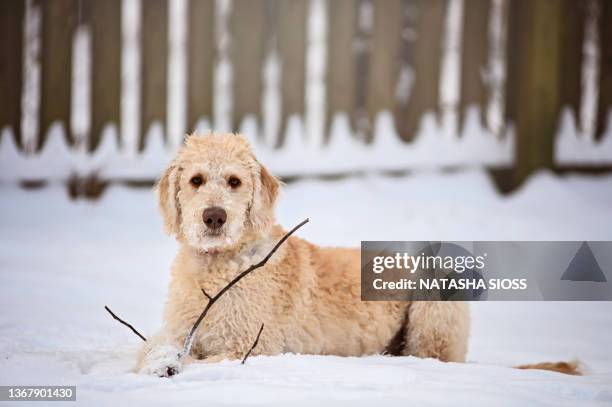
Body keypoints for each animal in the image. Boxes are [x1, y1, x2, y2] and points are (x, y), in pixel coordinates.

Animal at [137, 133, 468, 376]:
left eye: (234, 181)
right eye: (196, 180)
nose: (215, 217)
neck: (218, 264)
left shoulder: (251, 347)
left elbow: (196, 363)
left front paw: (169, 365)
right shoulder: (182, 331)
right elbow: (150, 348)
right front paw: (156, 359)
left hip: (438, 297)